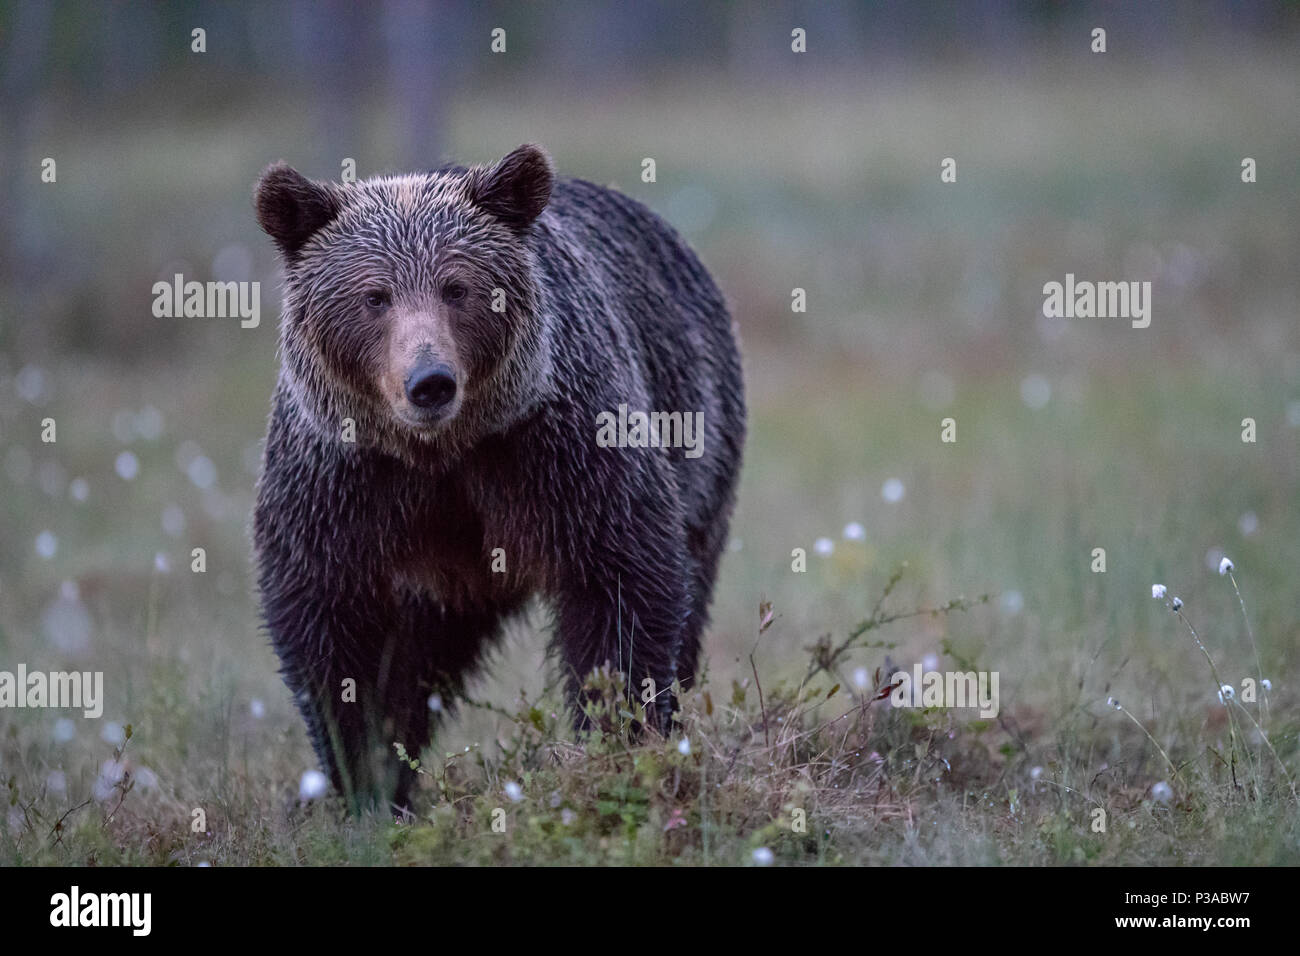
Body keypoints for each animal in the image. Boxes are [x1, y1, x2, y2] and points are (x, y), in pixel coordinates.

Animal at [253, 145, 748, 811]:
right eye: (374, 296)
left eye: (457, 287)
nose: (429, 381)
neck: (442, 452)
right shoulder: (342, 479)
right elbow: (329, 621)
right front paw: (367, 783)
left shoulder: (556, 447)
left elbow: (622, 578)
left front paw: (620, 740)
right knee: (417, 656)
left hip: (700, 435)